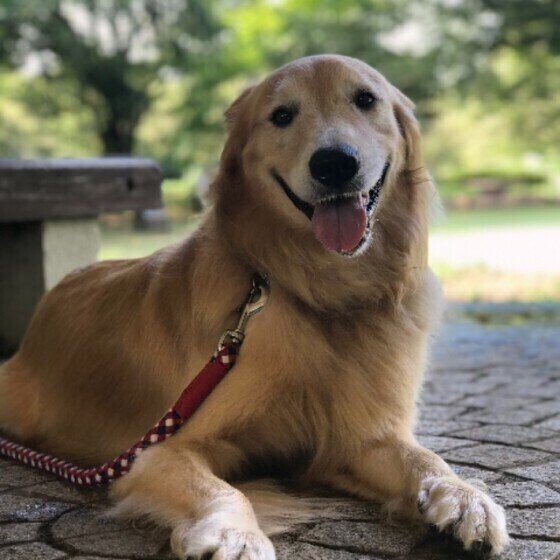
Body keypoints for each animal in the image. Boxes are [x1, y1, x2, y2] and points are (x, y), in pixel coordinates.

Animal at [0, 55, 508, 556]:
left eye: (366, 100)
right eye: (281, 115)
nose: (334, 163)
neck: (318, 290)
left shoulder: (361, 440)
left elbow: (424, 458)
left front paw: (464, 496)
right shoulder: (160, 448)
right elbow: (223, 491)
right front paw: (236, 535)